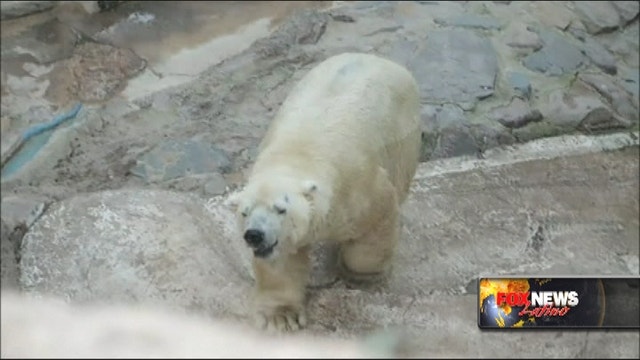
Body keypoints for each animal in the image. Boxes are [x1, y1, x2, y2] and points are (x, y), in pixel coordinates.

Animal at [228, 51, 422, 332]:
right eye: (245, 212)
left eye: (281, 208)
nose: (254, 235)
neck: (296, 155)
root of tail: (374, 58)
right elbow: (280, 260)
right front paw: (281, 316)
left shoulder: (360, 187)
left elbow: (377, 223)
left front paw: (358, 274)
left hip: (401, 135)